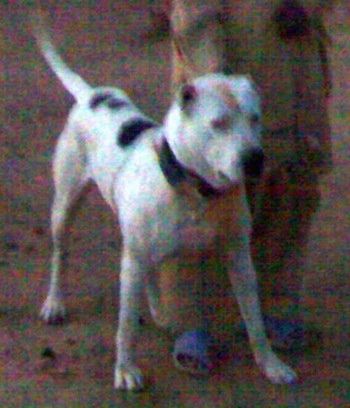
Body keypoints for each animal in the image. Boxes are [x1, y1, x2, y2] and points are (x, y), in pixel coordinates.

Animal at [32, 19, 296, 392]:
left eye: (255, 118)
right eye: (218, 123)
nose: (254, 159)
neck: (196, 191)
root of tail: (90, 95)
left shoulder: (240, 258)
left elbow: (255, 319)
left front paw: (270, 363)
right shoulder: (132, 260)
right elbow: (126, 325)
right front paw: (125, 369)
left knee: (149, 273)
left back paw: (158, 311)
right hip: (66, 205)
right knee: (60, 253)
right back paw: (55, 303)